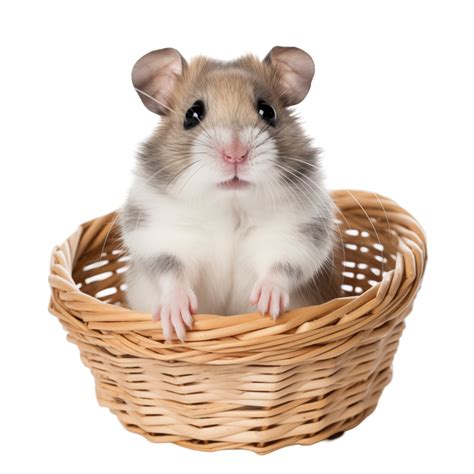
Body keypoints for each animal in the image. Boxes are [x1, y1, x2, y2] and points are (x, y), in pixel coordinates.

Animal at [118, 46, 340, 340]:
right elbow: (172, 271)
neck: (230, 204)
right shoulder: (159, 237)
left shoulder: (296, 236)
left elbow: (280, 267)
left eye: (267, 111)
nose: (236, 155)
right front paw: (176, 321)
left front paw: (268, 306)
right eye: (192, 115)